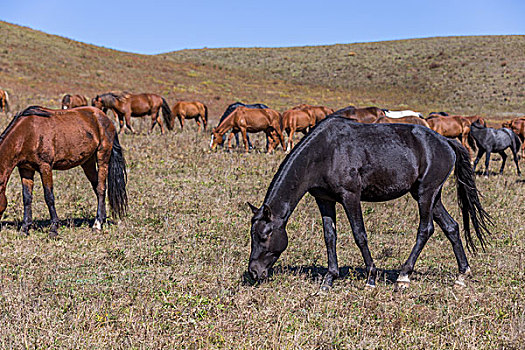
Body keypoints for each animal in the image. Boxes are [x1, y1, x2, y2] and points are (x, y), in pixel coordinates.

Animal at [0, 106, 128, 238]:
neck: (26, 134)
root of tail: (105, 118)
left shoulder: (45, 167)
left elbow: (49, 197)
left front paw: (53, 229)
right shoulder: (25, 169)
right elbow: (27, 198)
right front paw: (25, 228)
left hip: (103, 157)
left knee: (101, 188)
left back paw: (97, 225)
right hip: (88, 162)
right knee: (97, 187)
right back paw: (102, 219)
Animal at [248, 116, 490, 292]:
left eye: (264, 236)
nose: (253, 272)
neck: (325, 151)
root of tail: (447, 142)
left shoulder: (350, 197)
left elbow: (359, 235)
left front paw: (371, 277)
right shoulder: (324, 200)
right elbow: (329, 237)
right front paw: (329, 279)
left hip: (425, 195)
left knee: (426, 229)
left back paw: (404, 275)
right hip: (431, 196)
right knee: (451, 227)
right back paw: (461, 274)